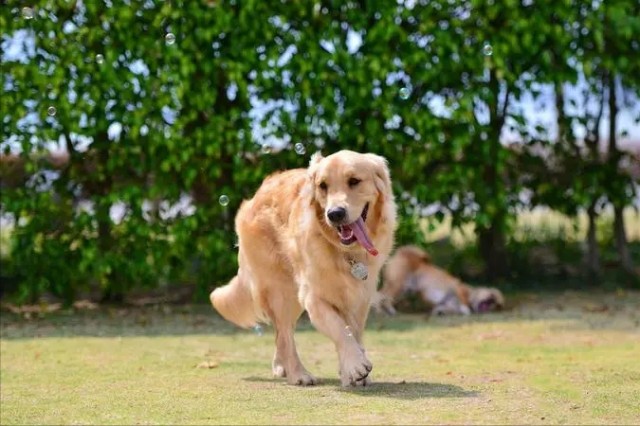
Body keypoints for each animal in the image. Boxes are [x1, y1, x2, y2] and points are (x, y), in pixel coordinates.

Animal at [376, 246, 504, 316]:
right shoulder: (457, 287)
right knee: (382, 296)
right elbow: (464, 306)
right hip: (398, 285)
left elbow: (445, 309)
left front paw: (439, 312)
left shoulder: (446, 305)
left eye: (496, 304)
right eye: (492, 296)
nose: (492, 302)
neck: (471, 294)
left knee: (382, 296)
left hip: (406, 289)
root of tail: (400, 253)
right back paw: (385, 311)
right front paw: (466, 309)